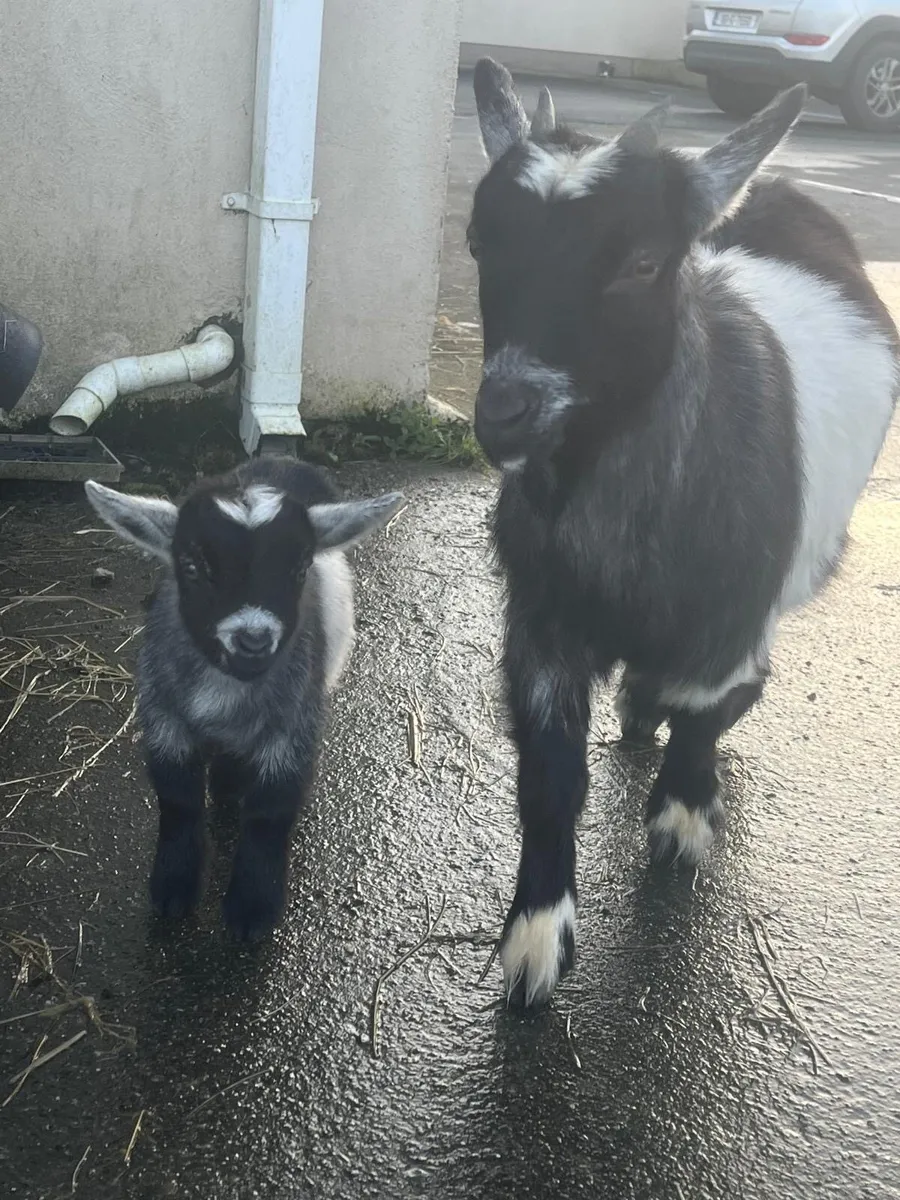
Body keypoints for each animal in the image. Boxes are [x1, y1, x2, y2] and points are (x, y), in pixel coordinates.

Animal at [85, 457, 403, 940]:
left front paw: (253, 908)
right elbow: (177, 798)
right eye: (192, 566)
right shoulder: (163, 717)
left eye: (300, 568)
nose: (253, 641)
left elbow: (270, 812)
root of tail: (280, 460)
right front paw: (173, 887)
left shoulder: (295, 724)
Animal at [469, 59, 899, 1006]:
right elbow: (551, 775)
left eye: (641, 260)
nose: (503, 412)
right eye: (481, 240)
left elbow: (710, 713)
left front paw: (682, 819)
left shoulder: (730, 626)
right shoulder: (540, 624)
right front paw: (536, 942)